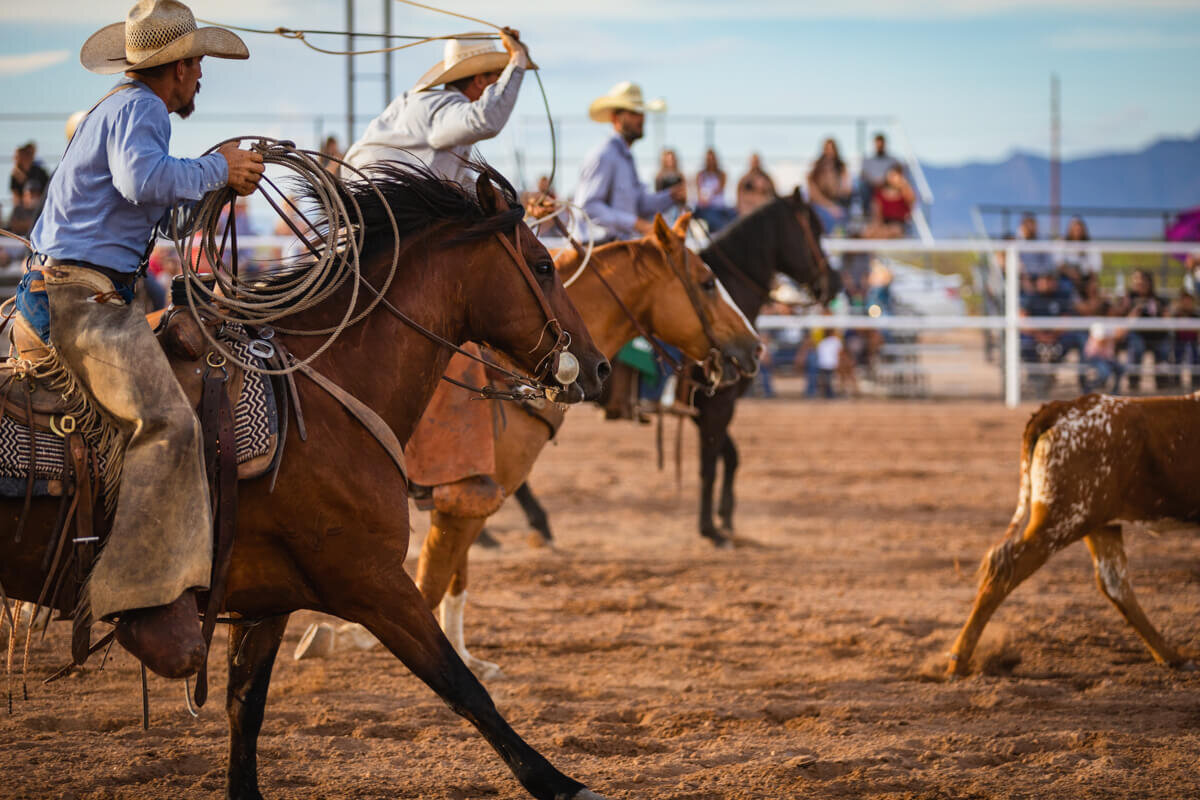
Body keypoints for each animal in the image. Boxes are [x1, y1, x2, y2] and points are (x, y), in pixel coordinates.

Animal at [0, 164, 614, 800]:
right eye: (542, 264)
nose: (599, 367)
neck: (326, 395)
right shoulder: (370, 580)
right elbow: (462, 686)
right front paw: (562, 784)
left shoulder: (266, 599)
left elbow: (244, 706)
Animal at [307, 209, 758, 681]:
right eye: (707, 282)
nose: (756, 347)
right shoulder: (468, 500)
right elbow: (428, 585)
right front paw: (340, 637)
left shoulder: (468, 499)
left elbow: (454, 580)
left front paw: (467, 656)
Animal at [511, 190, 840, 546]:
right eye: (815, 230)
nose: (834, 283)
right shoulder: (717, 405)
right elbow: (710, 464)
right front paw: (711, 529)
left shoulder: (705, 407)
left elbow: (731, 456)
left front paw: (725, 517)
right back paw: (535, 522)